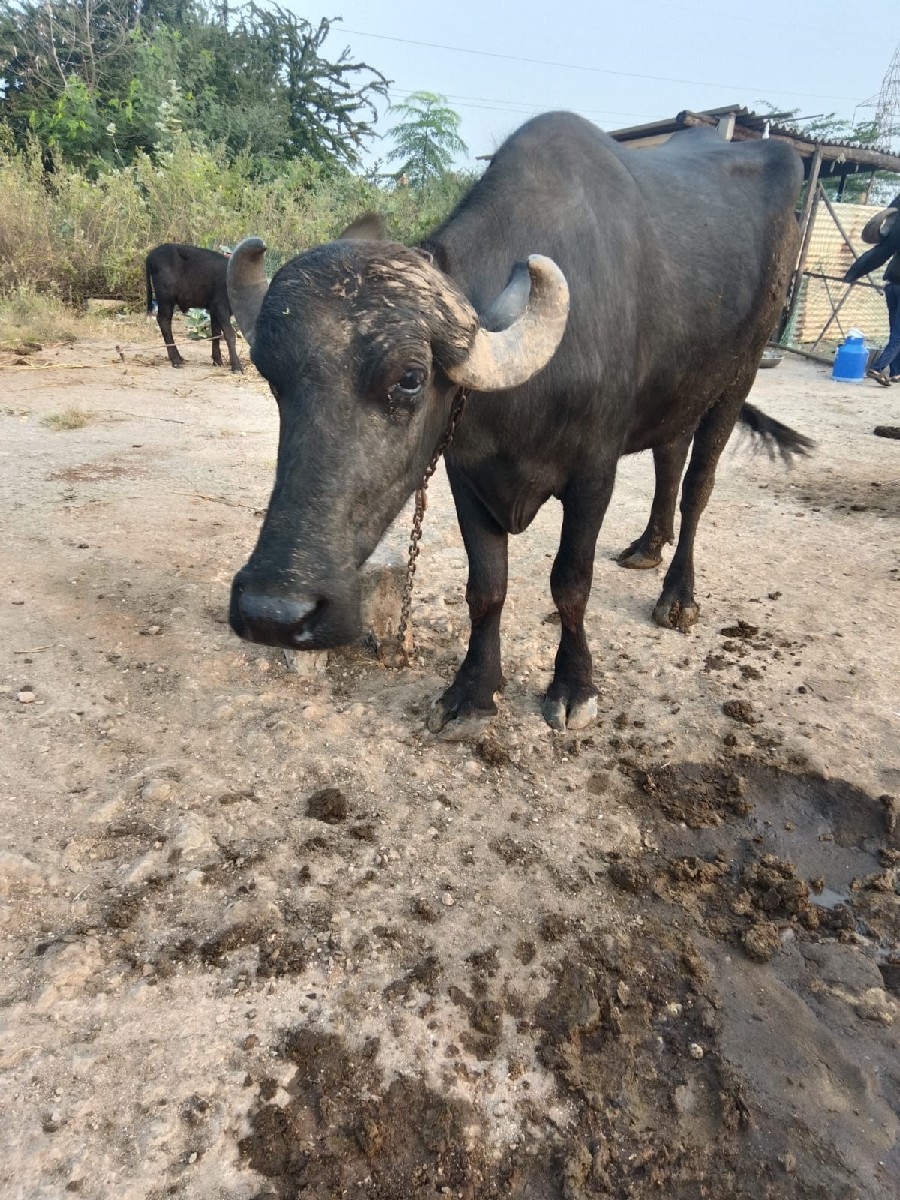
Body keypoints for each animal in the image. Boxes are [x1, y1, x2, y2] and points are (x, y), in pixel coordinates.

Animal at [145, 243, 242, 372]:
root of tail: (150, 256)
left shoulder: (214, 310)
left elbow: (216, 333)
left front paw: (217, 360)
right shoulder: (221, 307)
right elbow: (229, 334)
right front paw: (236, 365)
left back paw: (179, 358)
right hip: (166, 298)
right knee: (163, 321)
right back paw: (175, 360)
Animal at [225, 112, 805, 736]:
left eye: (410, 378)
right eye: (271, 376)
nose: (274, 612)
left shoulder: (594, 475)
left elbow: (570, 584)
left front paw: (573, 686)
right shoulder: (466, 472)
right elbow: (487, 587)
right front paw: (473, 689)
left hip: (738, 376)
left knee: (699, 485)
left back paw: (678, 596)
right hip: (681, 388)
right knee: (669, 456)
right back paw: (648, 546)